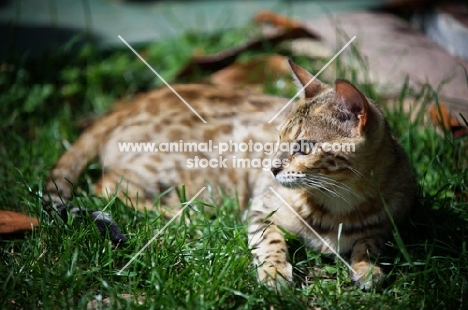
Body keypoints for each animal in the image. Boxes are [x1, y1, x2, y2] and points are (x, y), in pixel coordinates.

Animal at [45, 60, 414, 290]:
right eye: (279, 138)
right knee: (108, 185)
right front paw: (274, 272)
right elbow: (270, 240)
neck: (338, 203)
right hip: (185, 171)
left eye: (304, 147)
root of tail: (132, 101)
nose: (272, 167)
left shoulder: (388, 222)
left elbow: (369, 242)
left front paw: (367, 268)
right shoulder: (261, 207)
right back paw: (184, 216)